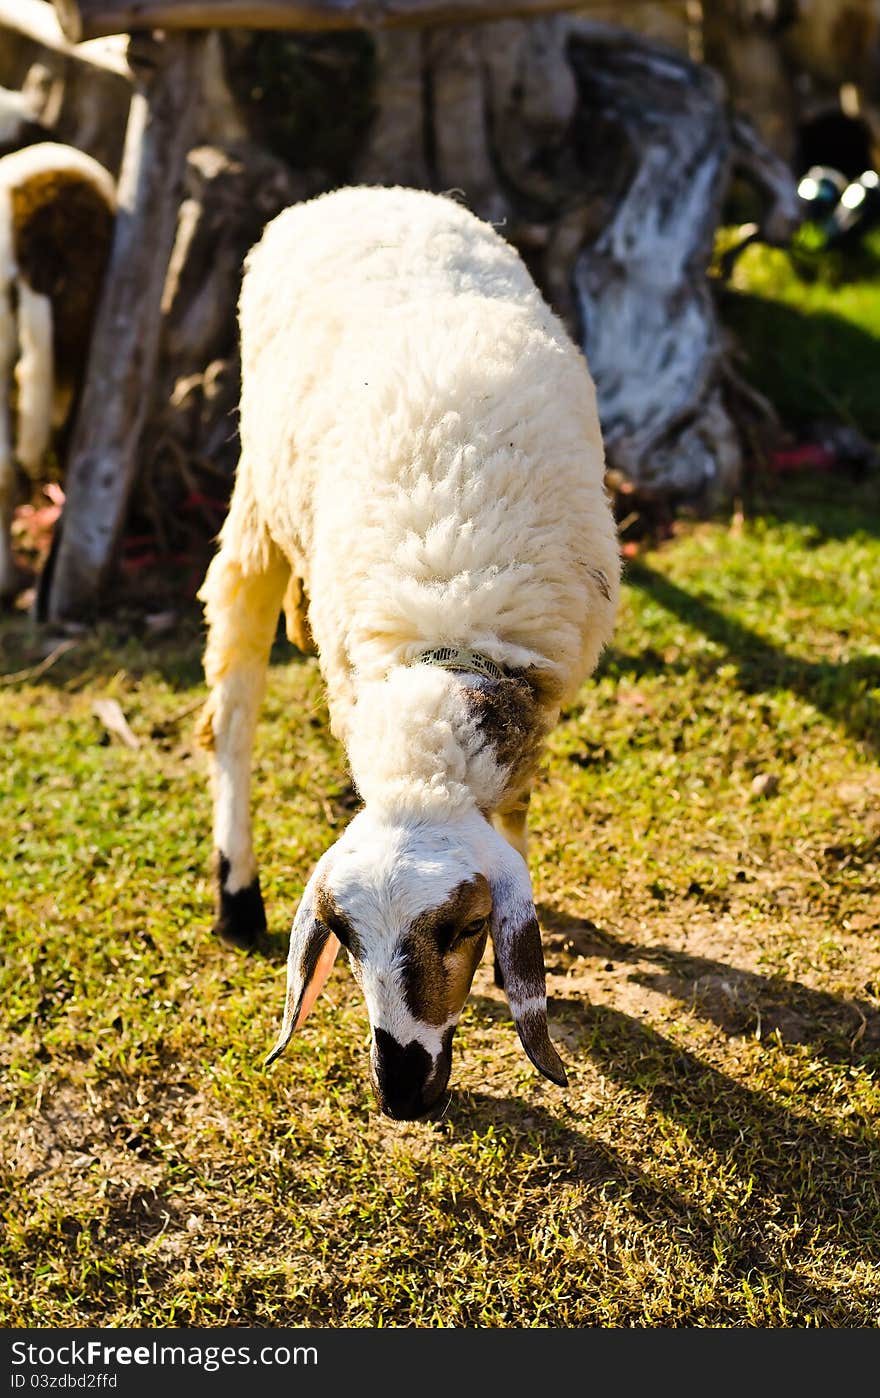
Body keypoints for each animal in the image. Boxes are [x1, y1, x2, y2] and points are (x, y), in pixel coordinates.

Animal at [195, 185, 621, 1118]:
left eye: (465, 926)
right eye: (343, 937)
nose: (402, 1093)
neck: (447, 638)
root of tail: (360, 192)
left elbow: (514, 815)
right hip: (257, 494)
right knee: (234, 703)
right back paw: (237, 891)